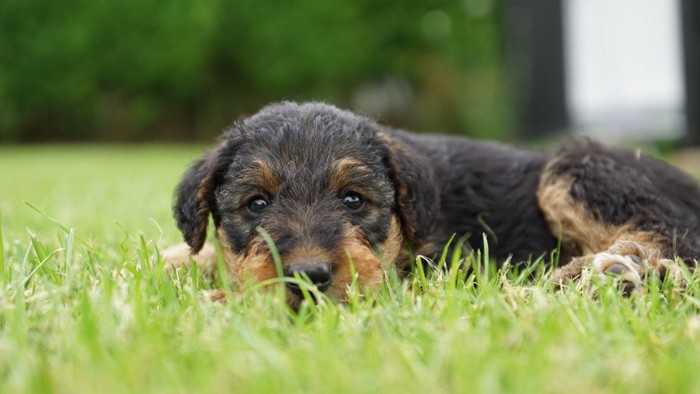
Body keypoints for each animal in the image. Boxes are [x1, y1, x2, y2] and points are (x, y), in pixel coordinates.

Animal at [165, 101, 700, 304]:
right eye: (256, 204)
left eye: (353, 199)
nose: (307, 276)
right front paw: (178, 260)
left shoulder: (415, 275)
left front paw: (218, 300)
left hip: (580, 168)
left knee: (676, 242)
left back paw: (605, 272)